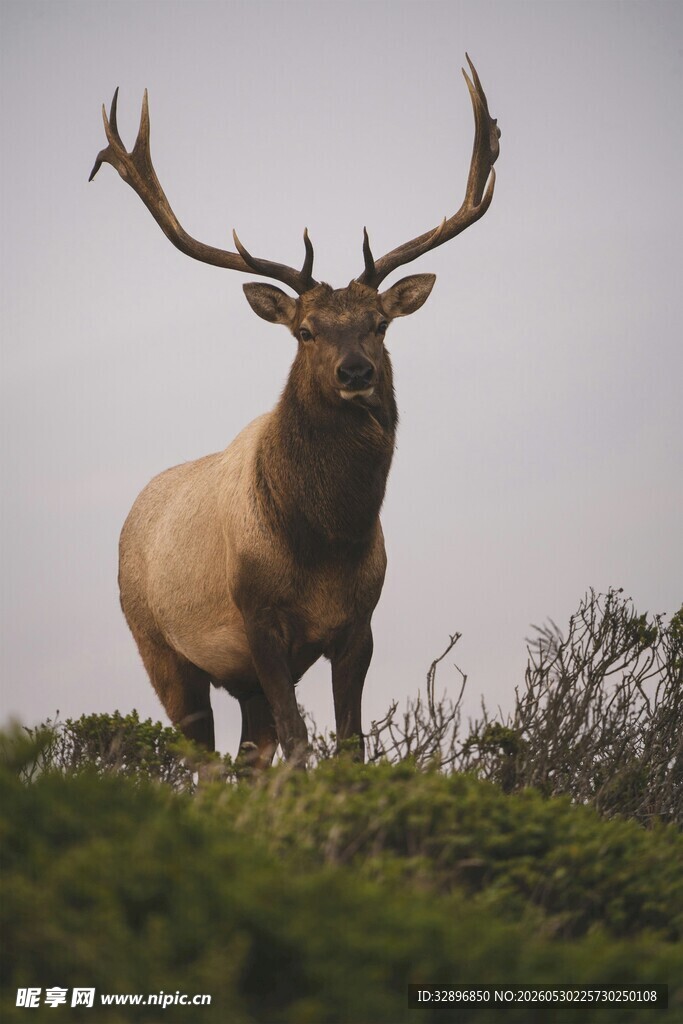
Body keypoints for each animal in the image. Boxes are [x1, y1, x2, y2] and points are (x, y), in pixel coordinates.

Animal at [89, 56, 500, 768]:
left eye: (379, 325)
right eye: (305, 331)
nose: (356, 372)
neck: (326, 542)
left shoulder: (360, 626)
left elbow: (349, 745)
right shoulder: (258, 623)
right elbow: (301, 744)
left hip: (237, 677)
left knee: (248, 758)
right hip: (158, 646)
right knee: (206, 761)